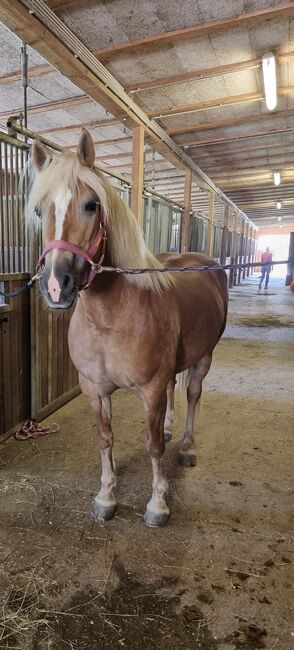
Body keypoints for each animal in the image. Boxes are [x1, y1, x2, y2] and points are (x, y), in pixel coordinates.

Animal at [27, 128, 229, 528]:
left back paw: (187, 446)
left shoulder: (150, 391)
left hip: (205, 357)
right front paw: (106, 496)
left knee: (193, 395)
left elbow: (153, 446)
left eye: (91, 205)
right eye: (40, 210)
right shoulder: (94, 388)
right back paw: (170, 426)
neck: (110, 319)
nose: (56, 285)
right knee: (175, 390)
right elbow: (105, 438)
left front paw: (158, 504)